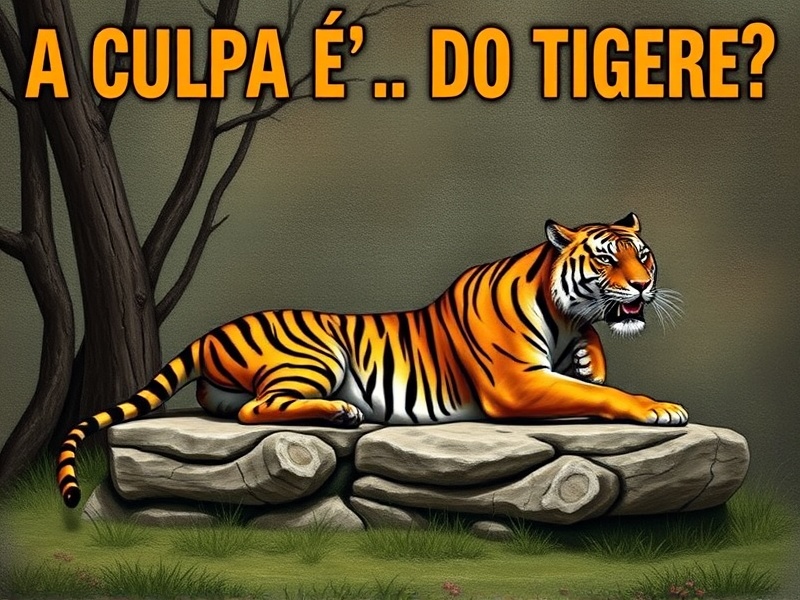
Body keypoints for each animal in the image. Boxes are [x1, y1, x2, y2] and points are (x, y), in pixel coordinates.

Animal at [57, 213, 687, 508]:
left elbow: (593, 363)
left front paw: (591, 357)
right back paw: (341, 413)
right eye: (605, 259)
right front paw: (659, 408)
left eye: (644, 255)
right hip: (316, 353)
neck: (560, 311)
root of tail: (212, 331)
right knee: (260, 409)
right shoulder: (519, 385)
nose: (643, 287)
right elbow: (600, 394)